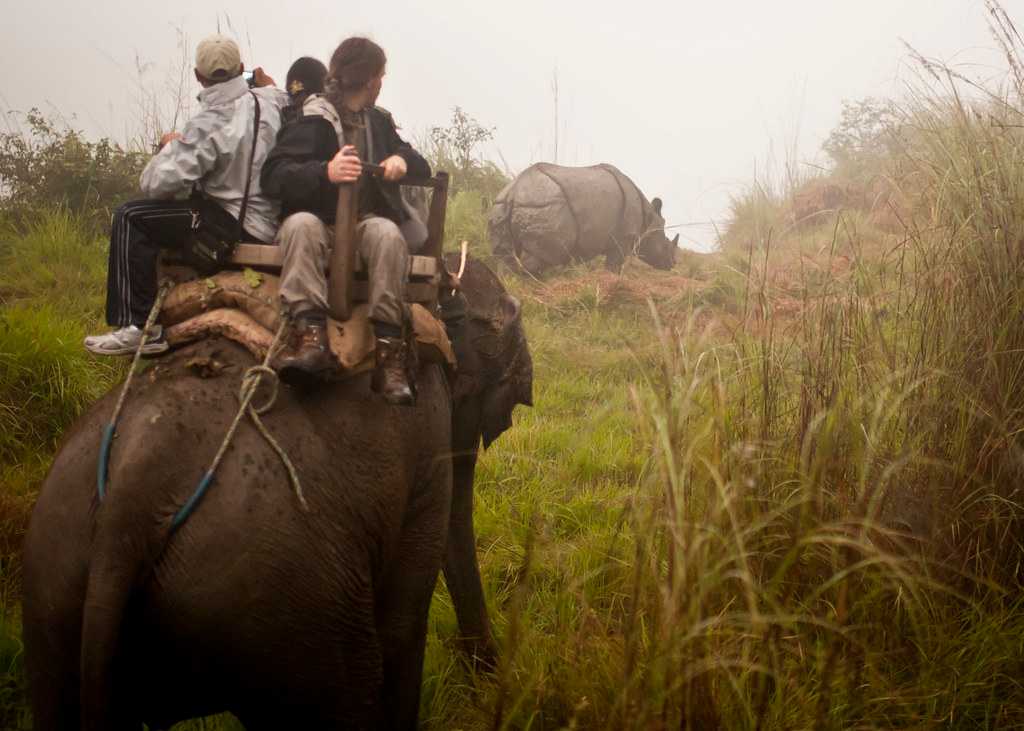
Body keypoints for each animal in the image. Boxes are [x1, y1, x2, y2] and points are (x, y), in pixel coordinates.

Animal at [19, 253, 532, 724]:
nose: (490, 676)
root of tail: (129, 498)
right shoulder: (427, 433)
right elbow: (403, 621)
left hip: (56, 585)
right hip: (287, 599)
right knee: (349, 692)